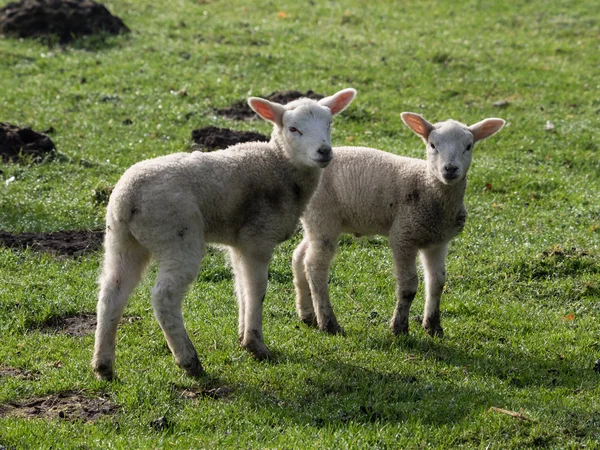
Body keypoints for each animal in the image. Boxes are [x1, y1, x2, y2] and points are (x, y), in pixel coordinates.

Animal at [90, 88, 356, 380]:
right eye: (293, 129)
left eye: (329, 124)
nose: (324, 151)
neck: (279, 166)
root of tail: (128, 199)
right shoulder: (258, 237)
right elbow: (257, 288)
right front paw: (255, 344)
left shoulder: (239, 243)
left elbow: (240, 287)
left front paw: (242, 335)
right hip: (177, 236)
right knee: (164, 297)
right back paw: (189, 360)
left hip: (121, 240)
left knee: (112, 292)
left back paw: (104, 365)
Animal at [292, 112, 504, 338]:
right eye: (433, 145)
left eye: (468, 146)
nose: (450, 169)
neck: (428, 186)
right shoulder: (403, 235)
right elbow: (409, 286)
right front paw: (399, 327)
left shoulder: (438, 241)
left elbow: (437, 282)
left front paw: (433, 326)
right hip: (323, 215)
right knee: (315, 266)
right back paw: (328, 322)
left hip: (315, 220)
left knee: (299, 256)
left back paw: (307, 314)